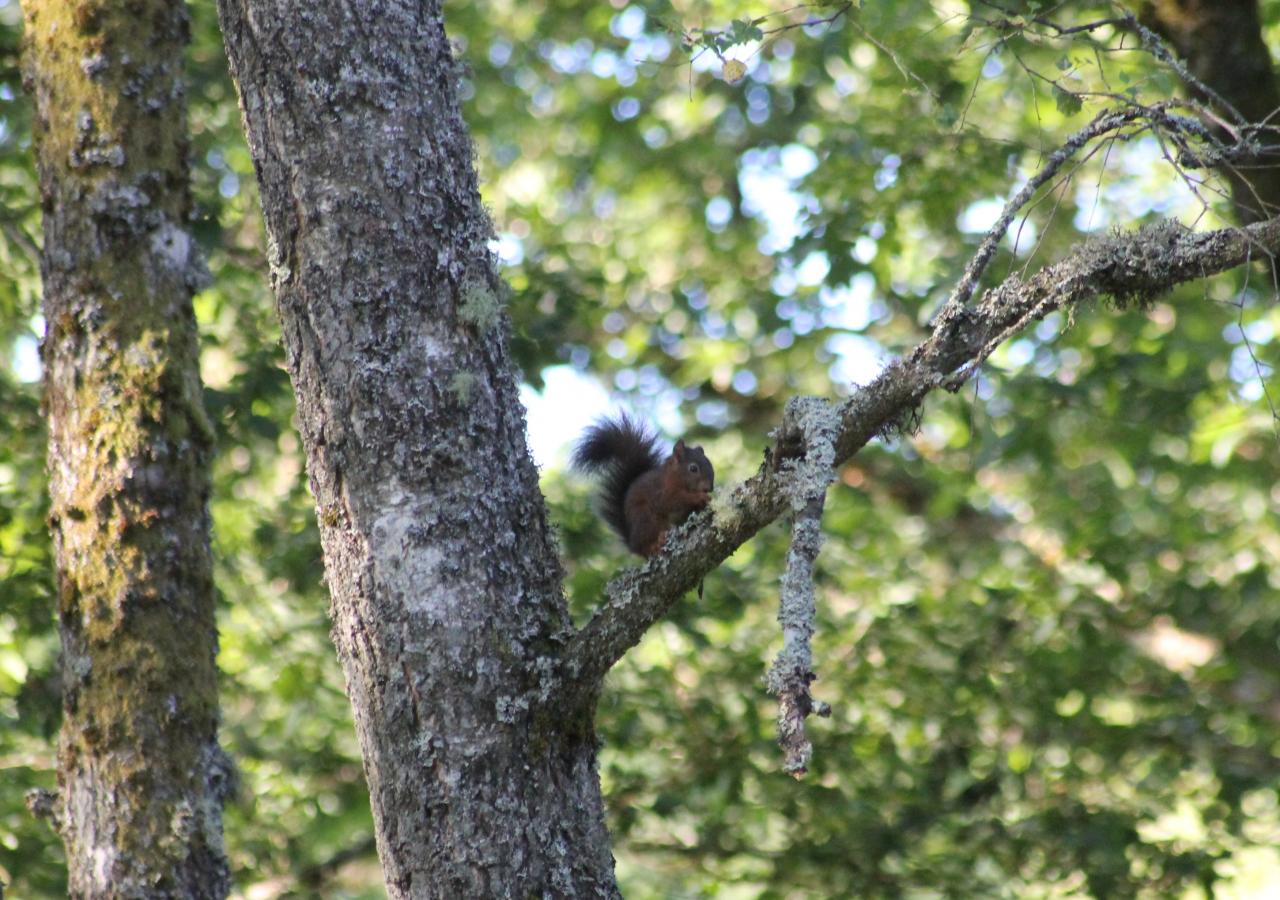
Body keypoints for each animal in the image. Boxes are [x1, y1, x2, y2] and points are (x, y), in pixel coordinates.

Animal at [576, 414, 716, 555]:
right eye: (693, 468)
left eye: (710, 464)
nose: (709, 488)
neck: (675, 478)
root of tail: (632, 544)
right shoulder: (661, 491)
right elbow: (672, 500)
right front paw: (699, 497)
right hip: (646, 518)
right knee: (645, 547)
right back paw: (656, 544)